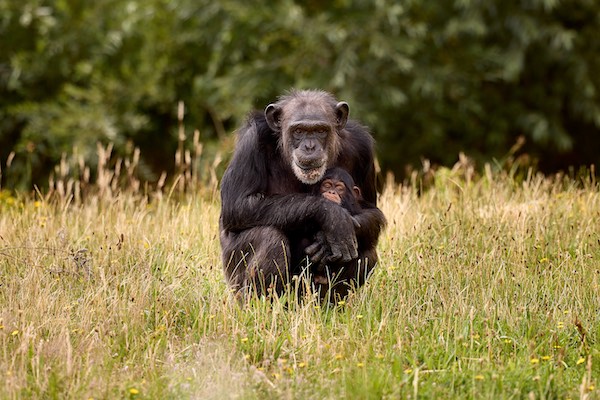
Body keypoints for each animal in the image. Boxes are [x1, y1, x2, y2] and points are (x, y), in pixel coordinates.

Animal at [220, 89, 384, 298]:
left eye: (320, 130)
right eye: (298, 131)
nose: (310, 147)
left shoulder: (363, 148)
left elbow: (370, 210)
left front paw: (327, 239)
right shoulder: (252, 141)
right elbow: (237, 204)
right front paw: (333, 218)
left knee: (367, 251)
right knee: (269, 238)